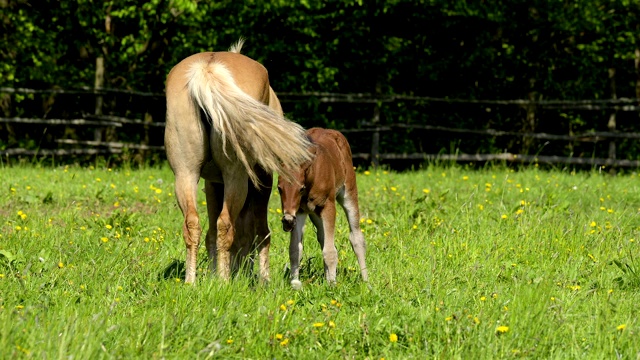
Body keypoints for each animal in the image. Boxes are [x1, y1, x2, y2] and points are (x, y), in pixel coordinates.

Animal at [164, 40, 312, 284]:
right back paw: (224, 282)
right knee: (226, 225)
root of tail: (208, 69)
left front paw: (214, 272)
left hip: (186, 174)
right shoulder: (263, 179)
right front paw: (263, 279)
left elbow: (211, 234)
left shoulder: (213, 184)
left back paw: (191, 282)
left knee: (193, 224)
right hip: (236, 176)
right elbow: (260, 232)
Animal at [278, 128, 368, 288]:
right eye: (279, 188)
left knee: (356, 237)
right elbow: (295, 250)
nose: (287, 220)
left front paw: (332, 286)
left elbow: (330, 251)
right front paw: (294, 283)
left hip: (349, 192)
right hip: (314, 213)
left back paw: (366, 282)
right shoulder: (299, 212)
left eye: (301, 188)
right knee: (322, 237)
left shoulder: (328, 206)